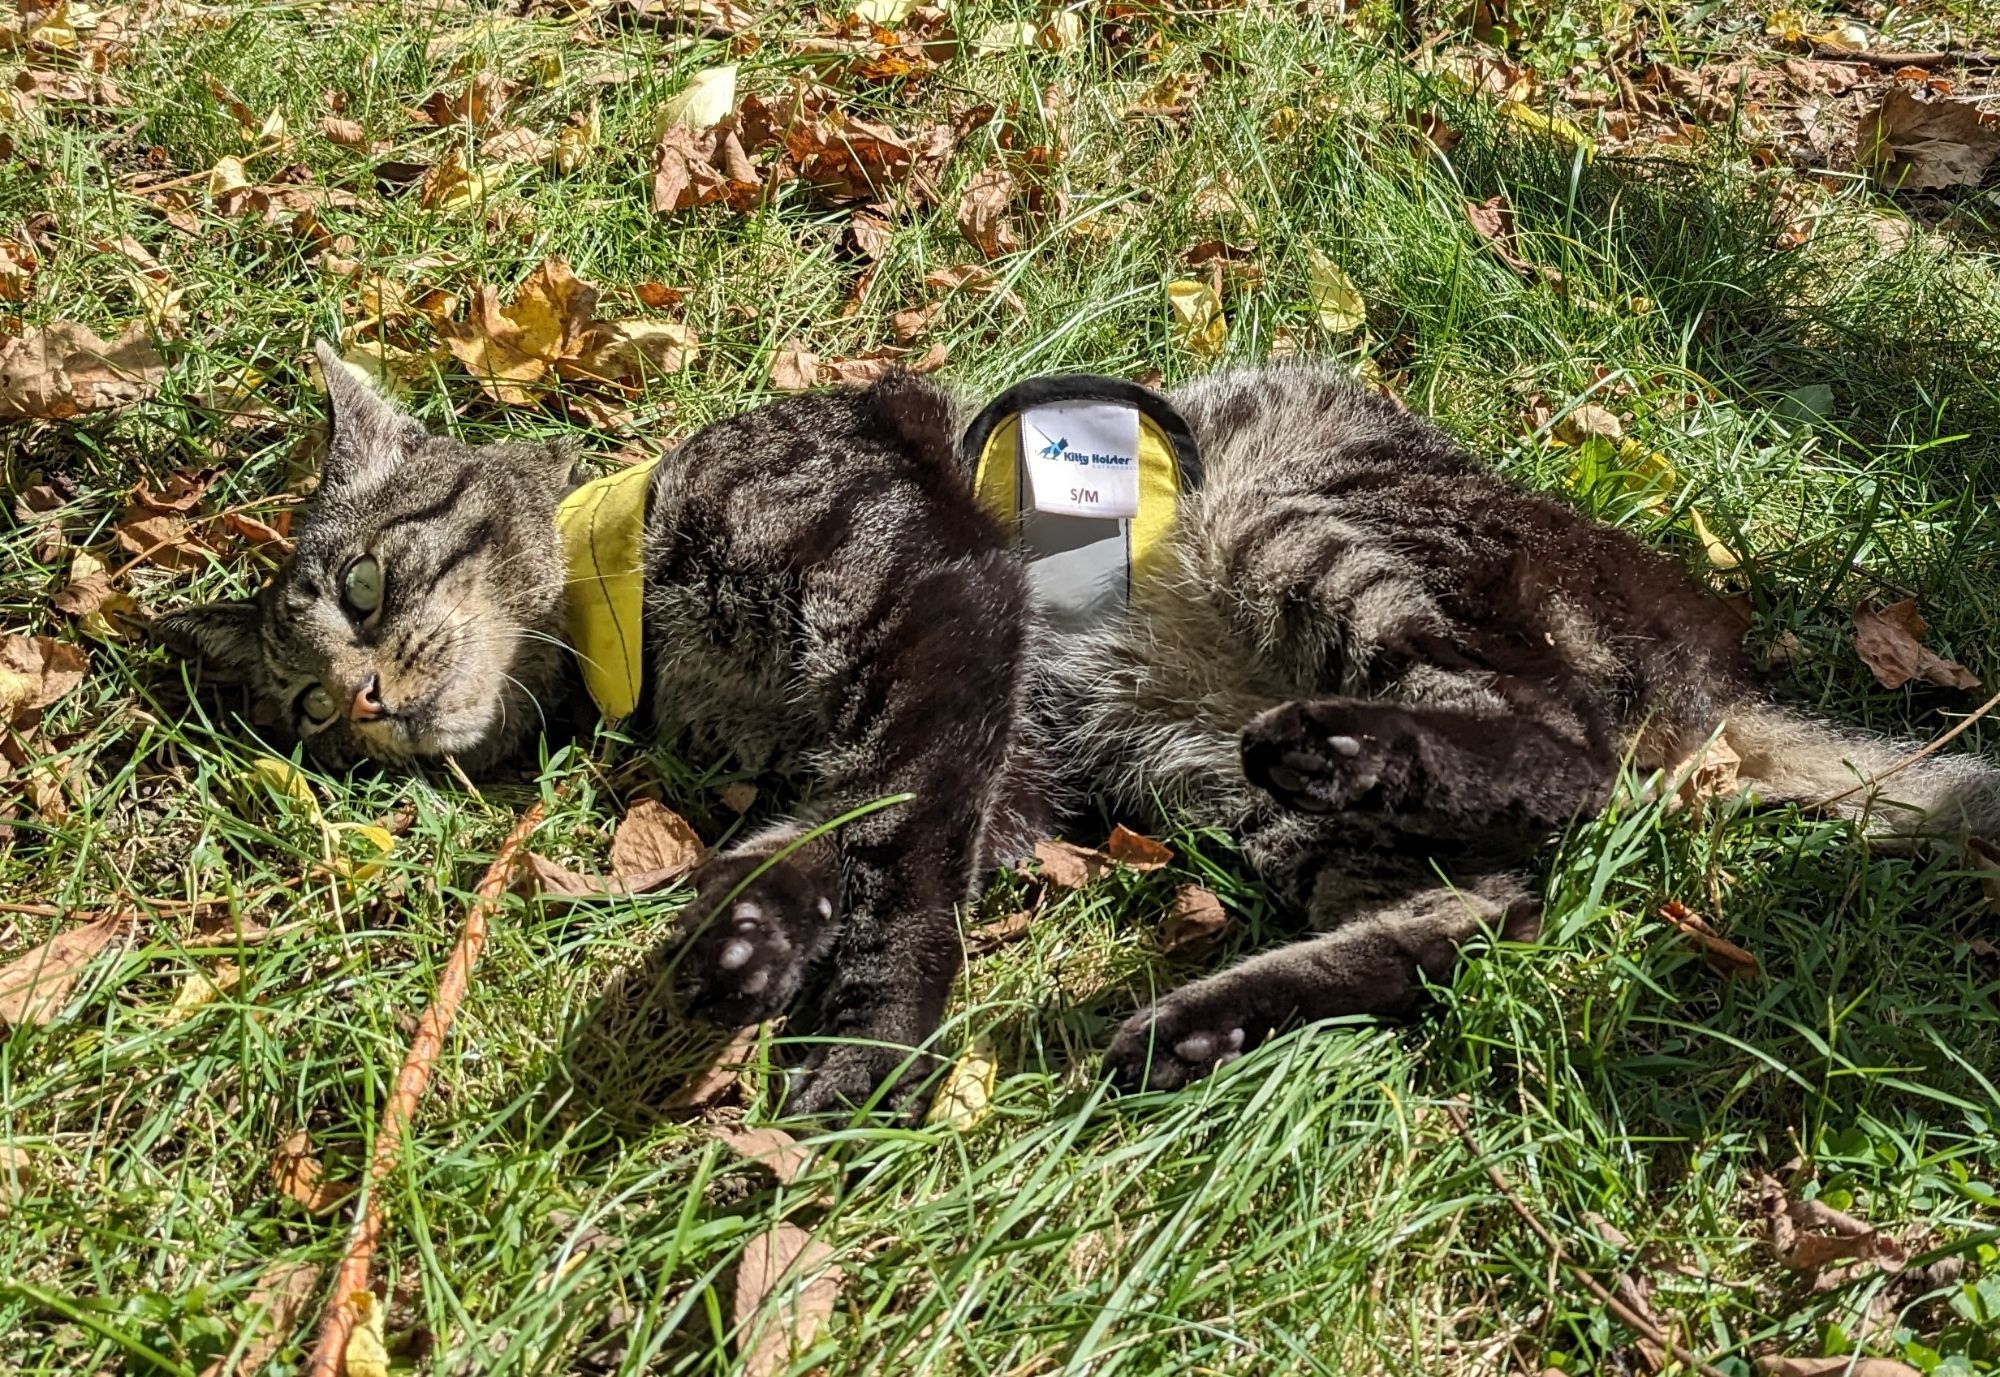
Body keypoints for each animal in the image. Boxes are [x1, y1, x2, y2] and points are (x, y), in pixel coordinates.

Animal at [160, 350, 2000, 1112]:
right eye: (299, 707)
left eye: (365, 583)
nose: (360, 700)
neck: (646, 610)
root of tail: (1718, 684)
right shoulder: (927, 749)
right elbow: (816, 843)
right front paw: (754, 950)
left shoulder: (933, 625)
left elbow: (899, 873)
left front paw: (862, 1058)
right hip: (1221, 791)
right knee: (1477, 904)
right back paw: (1197, 1023)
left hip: (1309, 540)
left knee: (1553, 759)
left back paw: (1361, 760)